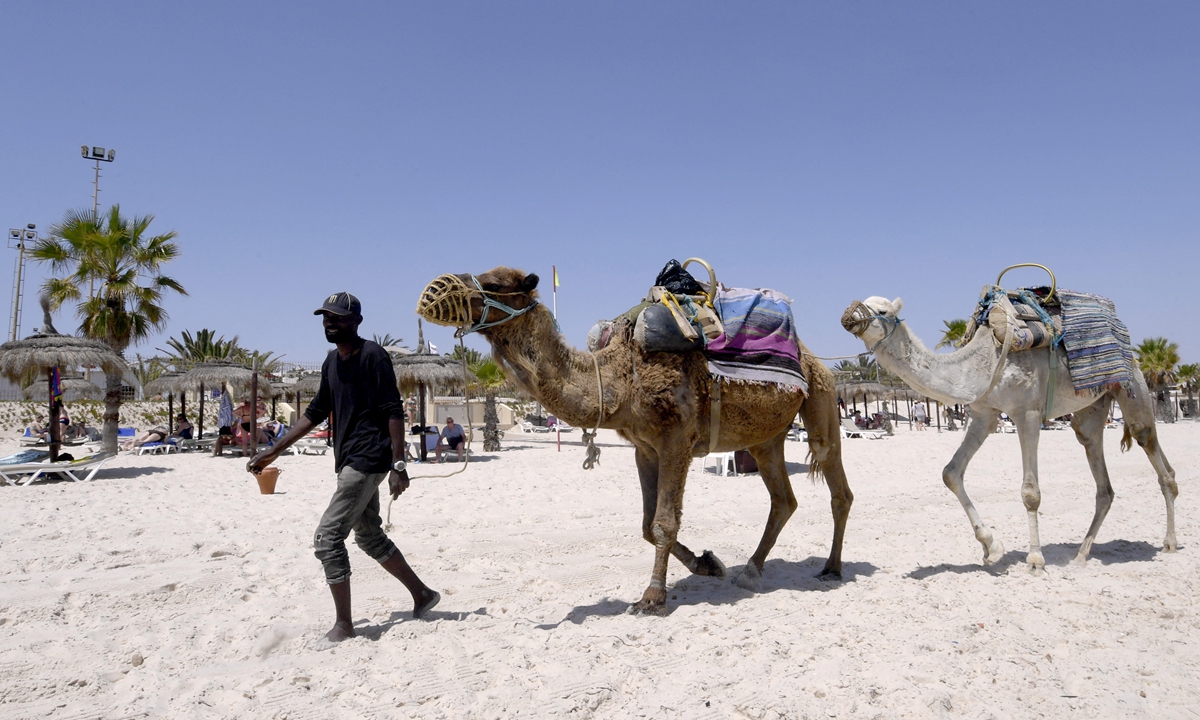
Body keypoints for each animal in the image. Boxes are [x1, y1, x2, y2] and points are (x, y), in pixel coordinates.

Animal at [417, 267, 853, 615]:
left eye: (493, 283)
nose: (431, 291)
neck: (618, 381)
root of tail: (812, 358)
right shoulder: (645, 448)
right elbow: (646, 525)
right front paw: (708, 564)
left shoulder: (677, 440)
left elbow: (663, 523)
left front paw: (652, 597)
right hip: (767, 437)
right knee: (783, 499)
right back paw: (750, 569)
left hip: (822, 397)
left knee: (837, 486)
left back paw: (831, 568)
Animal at [842, 296, 1178, 573]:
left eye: (882, 310)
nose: (848, 314)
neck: (983, 362)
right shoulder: (984, 415)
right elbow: (951, 473)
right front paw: (992, 548)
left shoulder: (1027, 413)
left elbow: (1030, 492)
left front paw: (1035, 560)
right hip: (1091, 409)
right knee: (1101, 475)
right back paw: (1081, 555)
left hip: (1133, 386)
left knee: (1156, 456)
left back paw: (1170, 542)